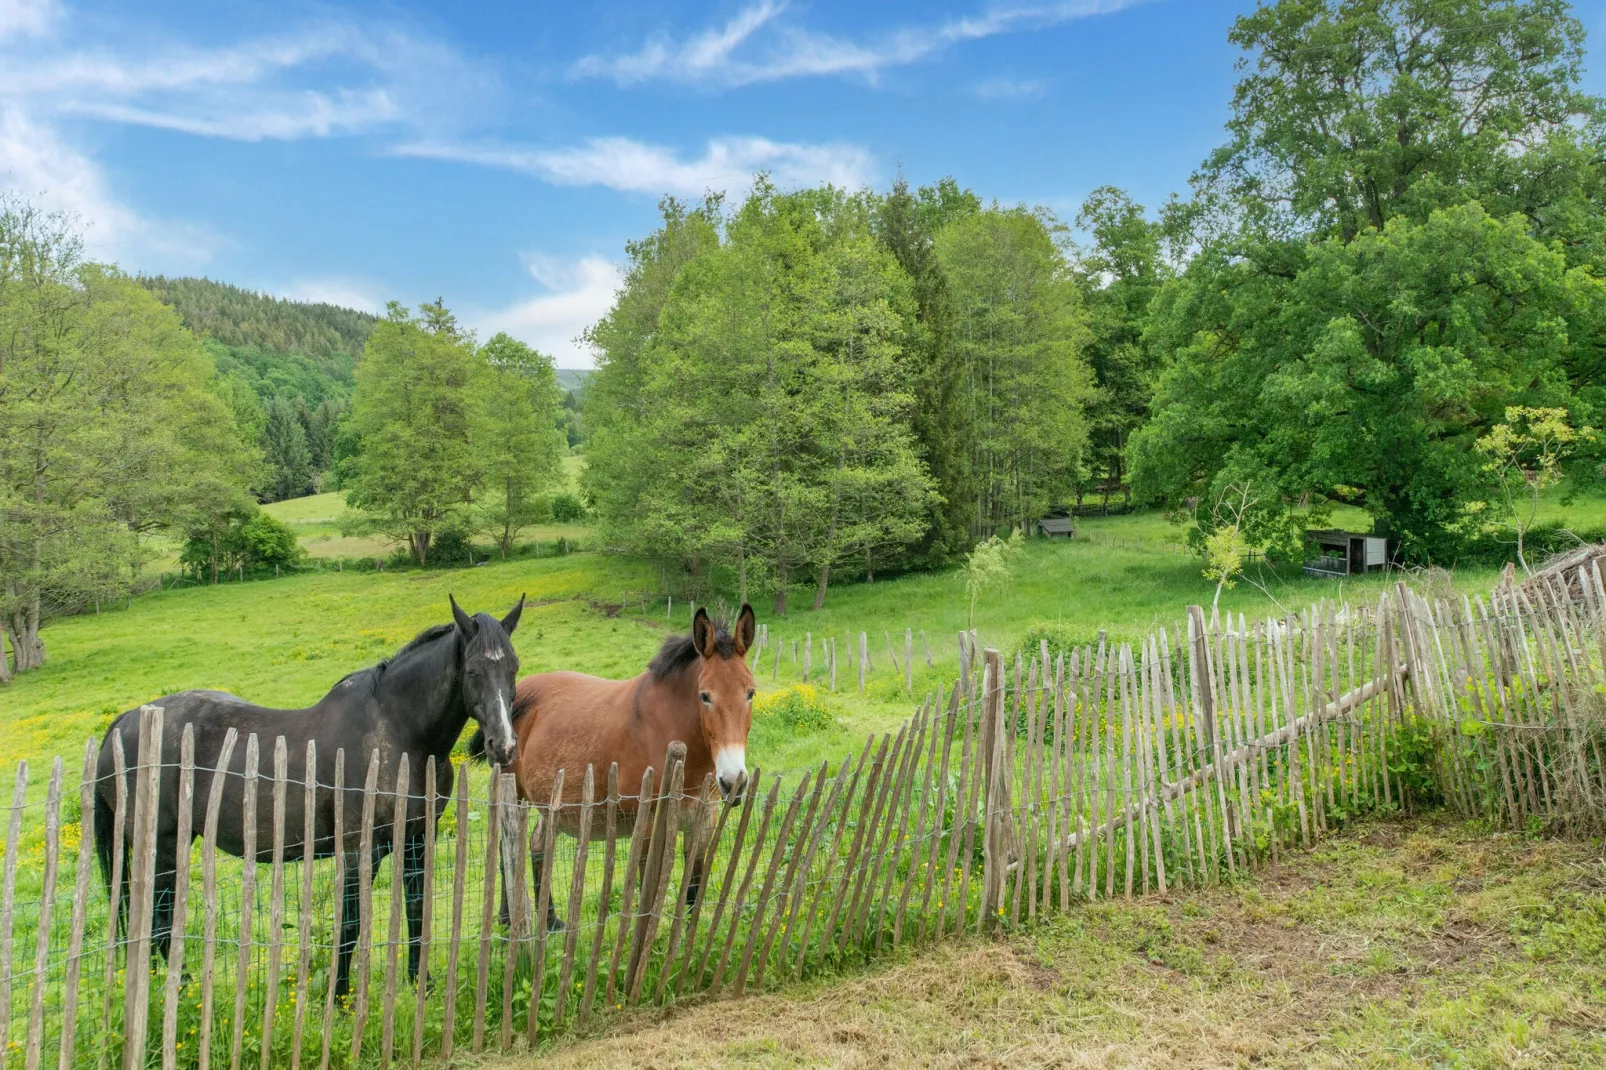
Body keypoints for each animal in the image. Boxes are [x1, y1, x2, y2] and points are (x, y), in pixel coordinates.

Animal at [97, 594, 523, 996]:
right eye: (473, 671)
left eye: (513, 668)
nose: (502, 746)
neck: (398, 731)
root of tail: (125, 721)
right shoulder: (358, 849)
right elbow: (350, 923)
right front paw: (339, 996)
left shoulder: (416, 839)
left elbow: (417, 911)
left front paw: (422, 984)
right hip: (164, 847)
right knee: (159, 920)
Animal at [468, 600, 758, 925]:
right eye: (705, 696)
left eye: (750, 692)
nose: (733, 781)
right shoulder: (647, 830)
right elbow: (647, 896)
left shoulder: (701, 824)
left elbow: (692, 894)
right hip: (514, 795)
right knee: (507, 849)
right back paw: (508, 918)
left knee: (537, 844)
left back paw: (551, 921)